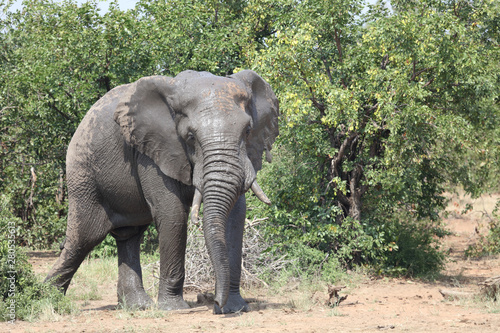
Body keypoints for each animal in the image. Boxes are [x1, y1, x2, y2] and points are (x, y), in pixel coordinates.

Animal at [45, 68, 280, 312]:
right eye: (190, 137)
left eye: (248, 131)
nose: (214, 302)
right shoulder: (151, 151)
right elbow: (172, 214)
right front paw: (174, 309)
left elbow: (236, 217)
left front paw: (234, 308)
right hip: (84, 176)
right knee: (82, 239)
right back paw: (47, 298)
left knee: (128, 236)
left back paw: (137, 306)